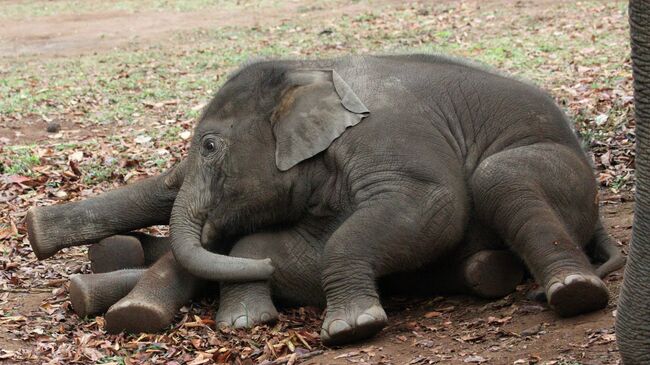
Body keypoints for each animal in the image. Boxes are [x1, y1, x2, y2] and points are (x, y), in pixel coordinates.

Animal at [29, 54, 624, 344]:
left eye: (210, 146)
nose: (31, 228)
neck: (309, 73)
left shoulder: (389, 137)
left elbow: (434, 206)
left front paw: (351, 329)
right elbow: (287, 250)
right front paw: (245, 324)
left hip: (562, 174)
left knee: (500, 176)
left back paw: (572, 294)